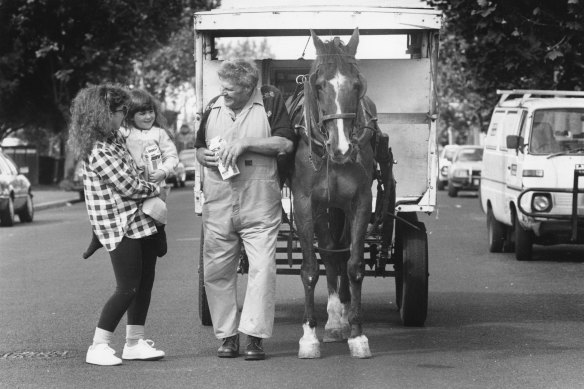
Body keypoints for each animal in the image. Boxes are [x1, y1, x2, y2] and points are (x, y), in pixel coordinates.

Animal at [288, 28, 394, 358]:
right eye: (319, 85)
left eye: (357, 85)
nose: (343, 147)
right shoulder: (306, 203)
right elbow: (311, 268)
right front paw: (309, 336)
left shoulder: (359, 202)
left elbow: (354, 265)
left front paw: (357, 334)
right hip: (323, 209)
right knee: (327, 250)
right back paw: (334, 320)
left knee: (342, 250)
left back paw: (342, 318)